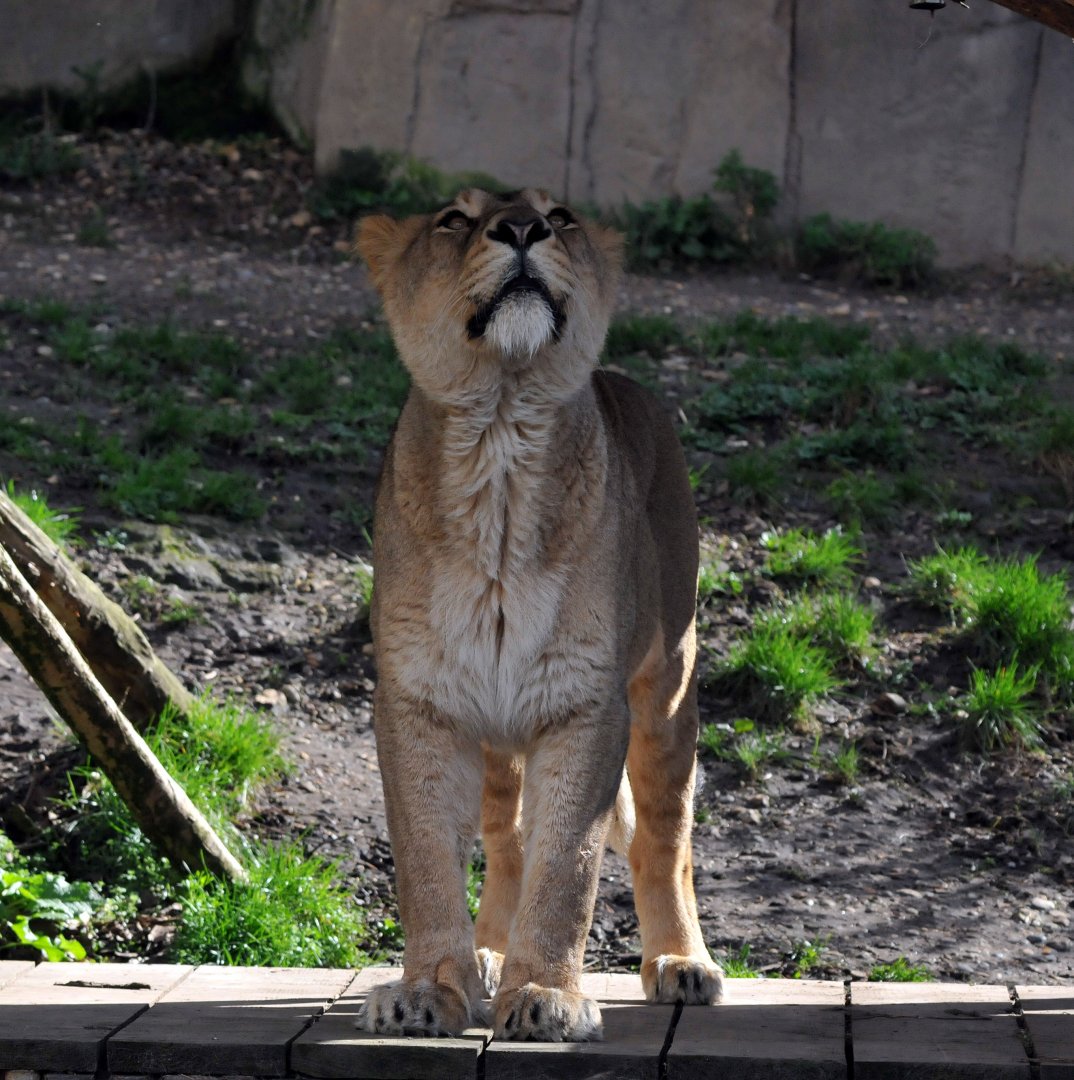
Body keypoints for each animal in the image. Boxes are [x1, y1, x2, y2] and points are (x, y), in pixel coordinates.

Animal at [355, 187, 722, 1042]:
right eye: (453, 219)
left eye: (562, 216)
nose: (523, 227)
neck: (500, 432)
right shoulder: (418, 702)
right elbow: (428, 860)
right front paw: (430, 990)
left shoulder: (585, 705)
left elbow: (569, 867)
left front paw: (546, 996)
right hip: (496, 729)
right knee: (504, 837)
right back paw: (489, 955)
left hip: (668, 687)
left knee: (665, 838)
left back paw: (680, 963)